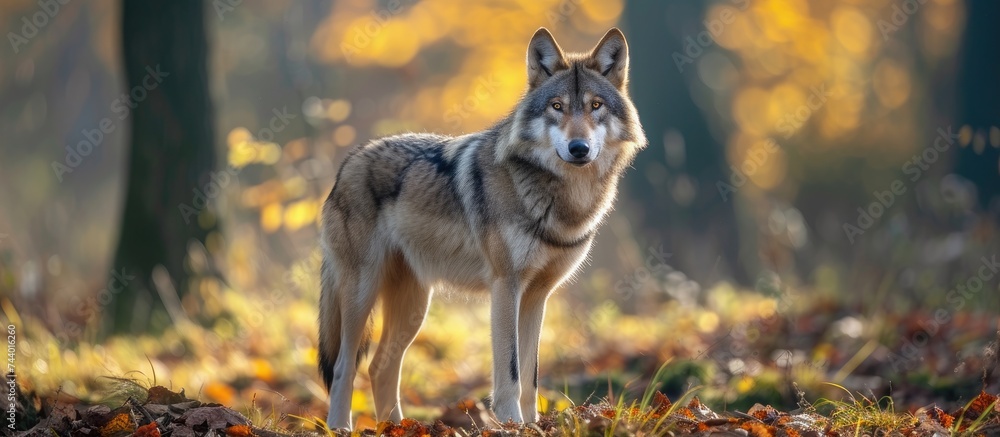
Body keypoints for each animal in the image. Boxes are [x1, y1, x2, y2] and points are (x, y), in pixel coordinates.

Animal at [318, 27, 646, 429]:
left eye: (596, 105)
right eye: (557, 107)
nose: (579, 147)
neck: (562, 198)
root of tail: (349, 162)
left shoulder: (537, 295)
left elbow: (531, 375)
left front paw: (531, 425)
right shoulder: (506, 287)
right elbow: (511, 371)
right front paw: (511, 424)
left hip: (415, 307)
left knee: (380, 367)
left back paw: (396, 427)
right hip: (362, 294)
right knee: (344, 366)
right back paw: (341, 427)